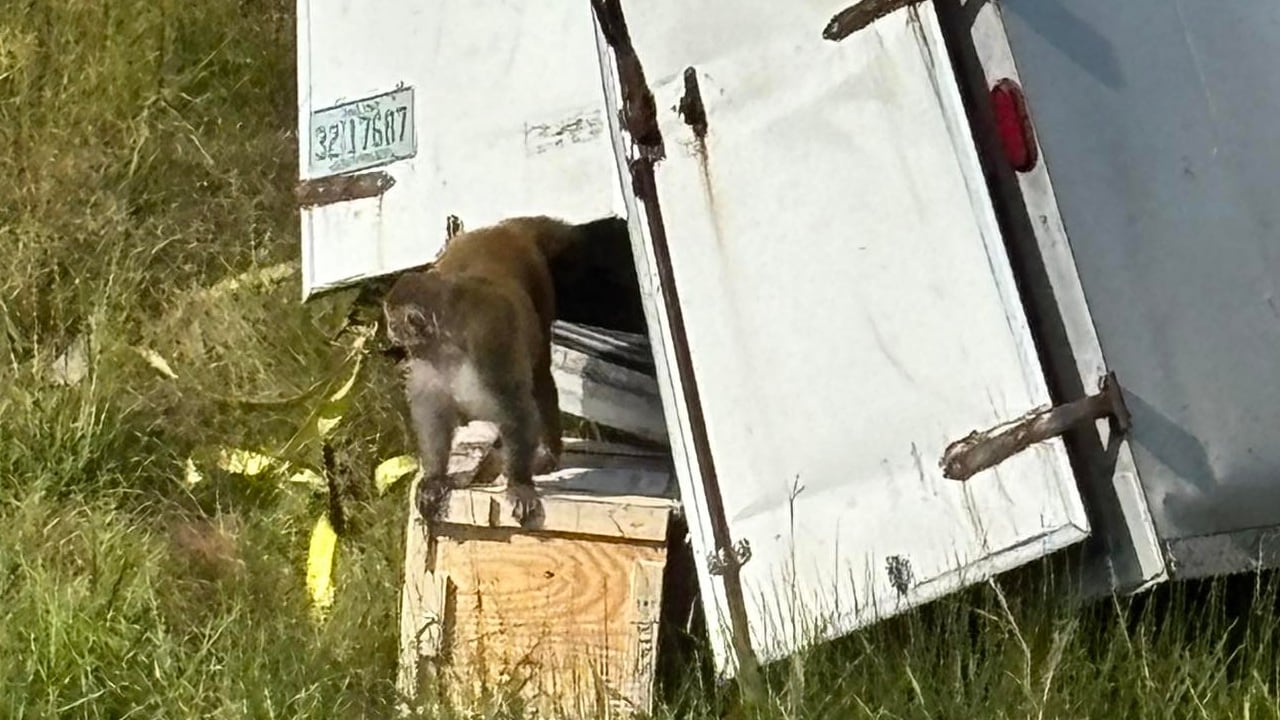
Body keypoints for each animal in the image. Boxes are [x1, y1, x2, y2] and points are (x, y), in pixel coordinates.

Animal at [383, 215, 635, 527]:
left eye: (392, 321)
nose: (389, 331)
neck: (448, 342)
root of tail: (503, 229)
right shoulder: (427, 359)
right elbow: (433, 412)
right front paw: (435, 477)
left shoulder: (490, 344)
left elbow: (515, 407)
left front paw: (519, 484)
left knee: (539, 378)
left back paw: (548, 453)